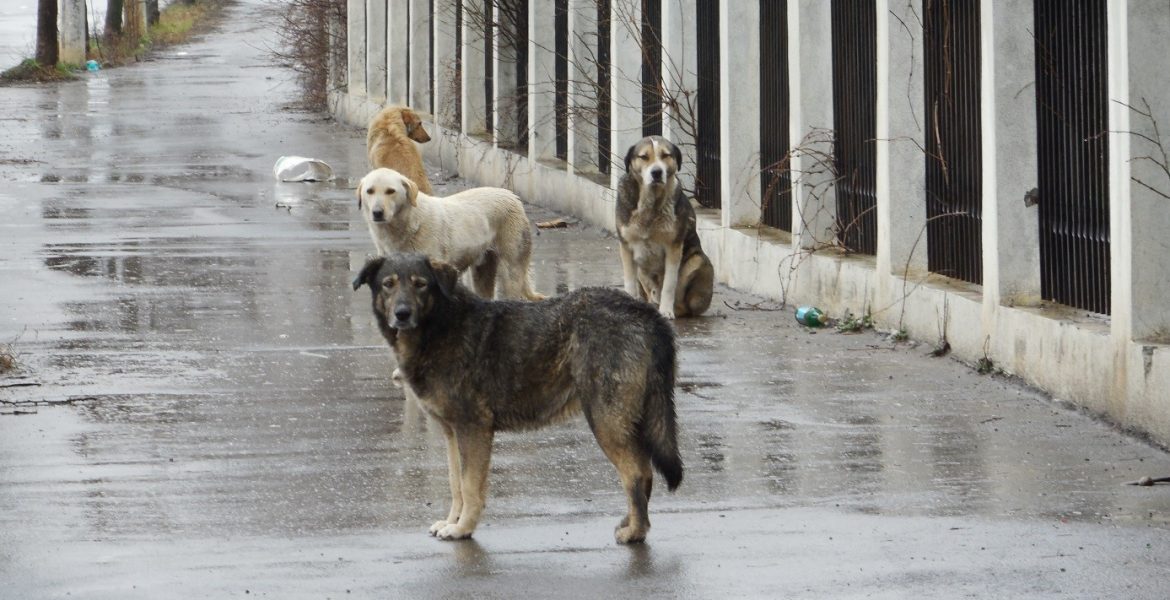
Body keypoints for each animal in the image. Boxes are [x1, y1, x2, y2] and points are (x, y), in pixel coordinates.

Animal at [355, 167, 542, 299]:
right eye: (369, 191)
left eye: (390, 191)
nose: (377, 213)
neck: (407, 224)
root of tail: (511, 195)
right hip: (482, 270)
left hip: (511, 269)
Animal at [355, 252, 683, 542]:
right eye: (388, 284)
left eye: (420, 284)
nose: (402, 314)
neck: (440, 325)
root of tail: (646, 312)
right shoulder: (452, 433)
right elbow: (455, 484)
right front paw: (452, 521)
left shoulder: (473, 430)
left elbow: (470, 487)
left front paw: (463, 529)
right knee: (643, 474)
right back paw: (632, 522)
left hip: (606, 422)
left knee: (636, 474)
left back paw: (636, 532)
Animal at [617, 135, 716, 318]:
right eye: (644, 157)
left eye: (665, 155)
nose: (656, 172)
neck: (651, 204)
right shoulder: (626, 246)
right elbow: (629, 283)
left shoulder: (673, 247)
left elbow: (669, 285)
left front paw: (666, 311)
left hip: (697, 261)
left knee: (684, 305)